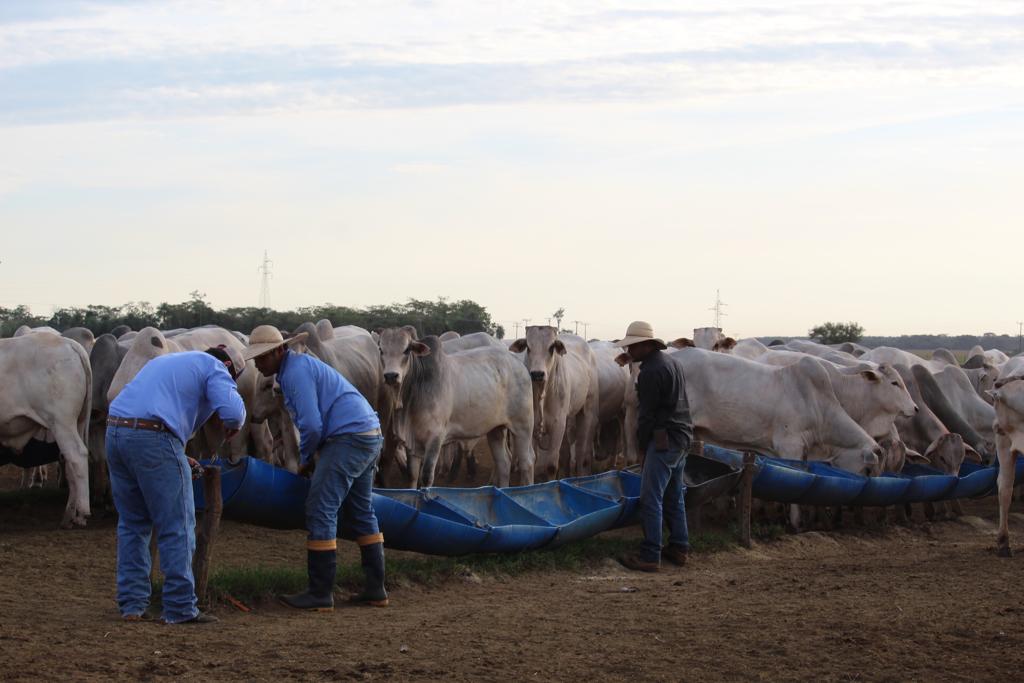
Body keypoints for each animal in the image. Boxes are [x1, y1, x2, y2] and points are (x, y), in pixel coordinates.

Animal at [1, 335, 92, 528]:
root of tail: (70, 343)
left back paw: (82, 511)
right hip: (77, 423)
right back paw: (71, 516)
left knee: (77, 456)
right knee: (71, 465)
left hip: (62, 422)